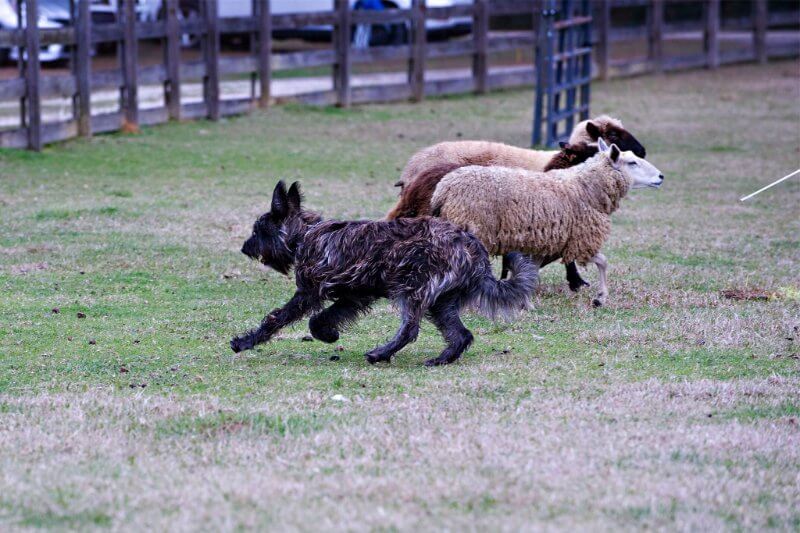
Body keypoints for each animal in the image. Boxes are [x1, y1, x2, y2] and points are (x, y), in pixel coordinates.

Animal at [429, 139, 664, 307]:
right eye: (632, 162)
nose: (661, 176)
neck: (585, 187)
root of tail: (443, 189)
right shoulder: (580, 240)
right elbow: (603, 261)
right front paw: (600, 297)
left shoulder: (545, 241)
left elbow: (531, 271)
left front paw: (525, 303)